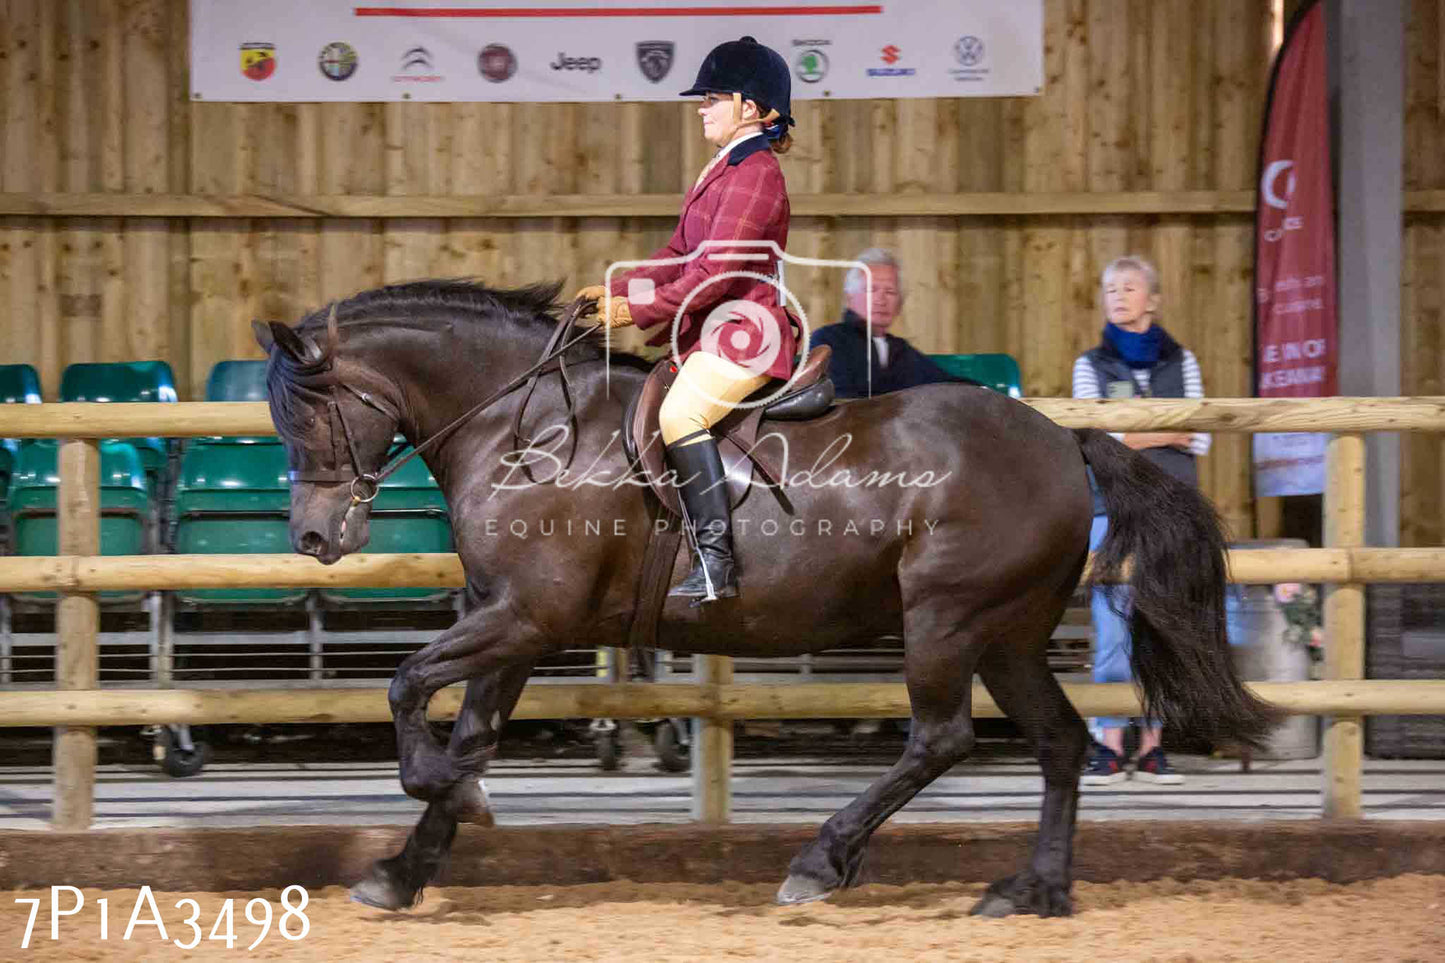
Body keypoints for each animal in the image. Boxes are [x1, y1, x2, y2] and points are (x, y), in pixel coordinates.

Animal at [260, 279, 1277, 913]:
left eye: (309, 412)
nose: (312, 539)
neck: (526, 424)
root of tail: (1065, 439)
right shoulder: (509, 623)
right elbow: (468, 731)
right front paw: (406, 865)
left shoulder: (524, 617)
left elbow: (405, 689)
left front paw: (447, 798)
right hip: (1009, 634)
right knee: (1059, 742)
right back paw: (1034, 891)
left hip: (947, 620)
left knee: (940, 737)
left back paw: (821, 862)